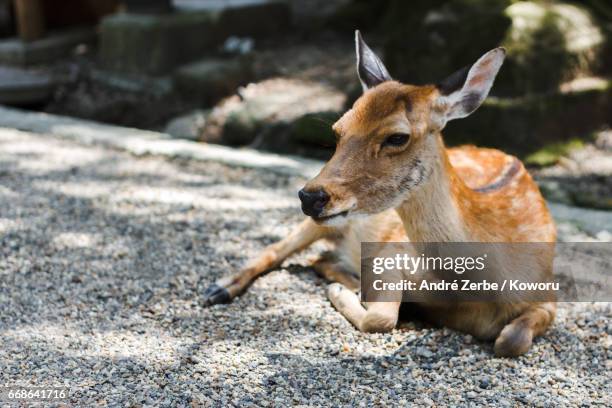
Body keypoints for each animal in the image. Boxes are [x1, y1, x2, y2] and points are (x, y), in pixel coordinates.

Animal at [203, 31, 556, 356]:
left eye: (397, 137)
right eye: (338, 130)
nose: (310, 196)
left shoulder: (546, 294)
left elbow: (511, 340)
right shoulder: (391, 253)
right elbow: (381, 318)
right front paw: (340, 292)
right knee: (276, 249)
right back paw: (218, 289)